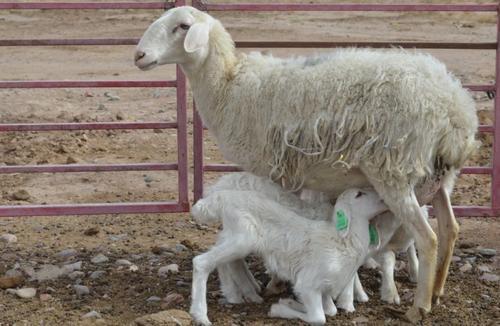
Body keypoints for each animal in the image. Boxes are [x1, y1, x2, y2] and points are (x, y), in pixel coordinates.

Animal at [189, 187, 388, 324]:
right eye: (359, 194)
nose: (383, 198)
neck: (343, 241)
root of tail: (223, 197)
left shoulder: (325, 287)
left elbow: (330, 310)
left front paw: (289, 303)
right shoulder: (308, 283)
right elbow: (318, 317)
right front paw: (278, 309)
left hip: (233, 236)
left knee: (221, 259)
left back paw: (233, 295)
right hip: (242, 238)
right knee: (201, 262)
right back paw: (200, 315)